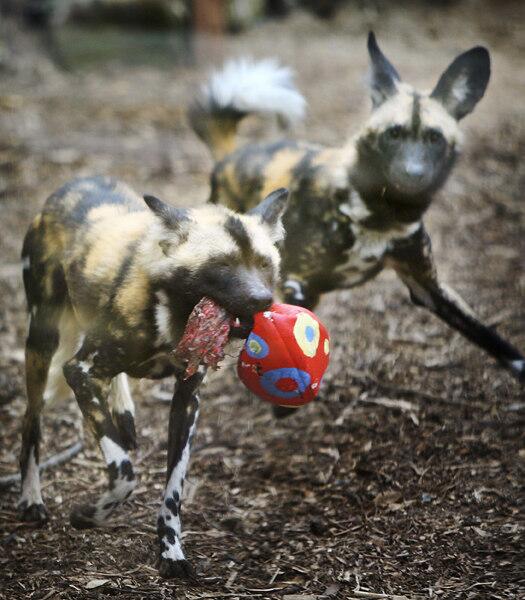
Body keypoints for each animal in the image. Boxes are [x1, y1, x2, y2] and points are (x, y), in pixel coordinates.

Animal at [18, 176, 286, 580]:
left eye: (264, 264)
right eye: (222, 266)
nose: (263, 299)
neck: (173, 311)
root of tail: (74, 183)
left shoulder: (187, 400)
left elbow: (173, 491)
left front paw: (171, 551)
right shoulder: (80, 371)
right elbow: (125, 473)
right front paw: (90, 514)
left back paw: (122, 413)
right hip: (42, 341)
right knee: (31, 421)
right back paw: (31, 497)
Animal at [189, 31, 524, 418]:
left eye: (434, 138)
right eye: (393, 134)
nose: (412, 174)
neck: (381, 215)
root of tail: (230, 156)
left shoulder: (428, 286)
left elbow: (496, 342)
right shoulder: (296, 281)